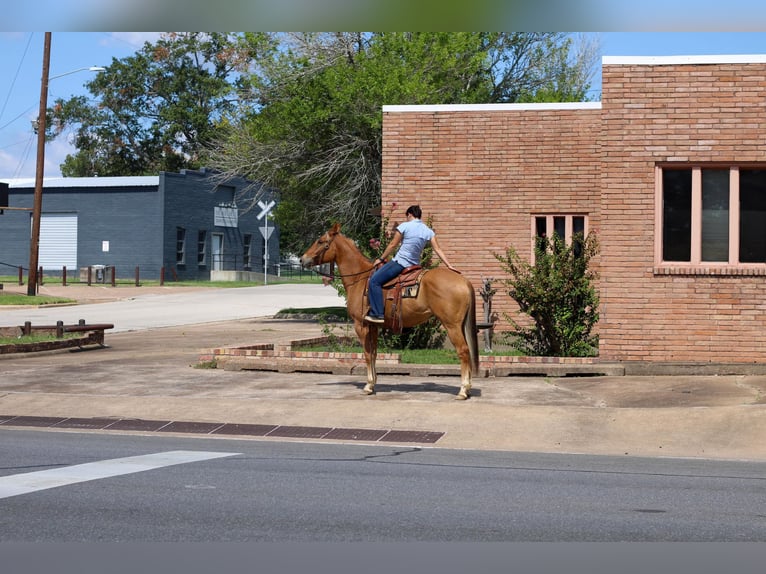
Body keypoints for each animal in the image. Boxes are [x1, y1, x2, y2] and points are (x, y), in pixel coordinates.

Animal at [300, 224, 480, 400]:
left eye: (320, 241)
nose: (302, 259)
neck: (359, 279)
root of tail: (463, 280)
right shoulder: (372, 326)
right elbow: (373, 353)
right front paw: (373, 383)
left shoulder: (361, 325)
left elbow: (367, 354)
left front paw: (368, 386)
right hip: (460, 325)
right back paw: (467, 389)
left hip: (452, 325)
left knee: (464, 351)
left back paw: (463, 390)